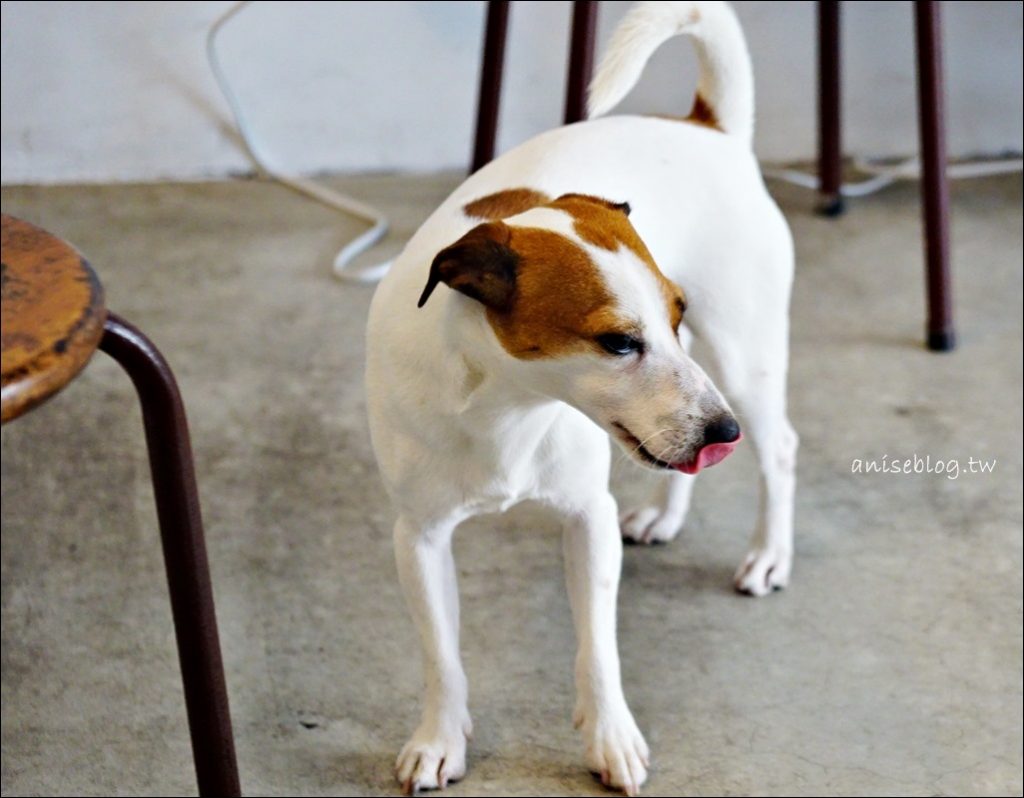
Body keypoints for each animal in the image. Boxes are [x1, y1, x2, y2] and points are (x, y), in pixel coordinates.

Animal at [364, 3, 794, 794]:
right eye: (618, 342)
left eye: (675, 313)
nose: (722, 432)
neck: (504, 405)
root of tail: (707, 126)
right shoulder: (420, 537)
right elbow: (441, 655)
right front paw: (438, 739)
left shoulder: (586, 519)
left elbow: (598, 646)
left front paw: (610, 738)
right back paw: (665, 514)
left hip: (742, 357)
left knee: (780, 448)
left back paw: (769, 555)